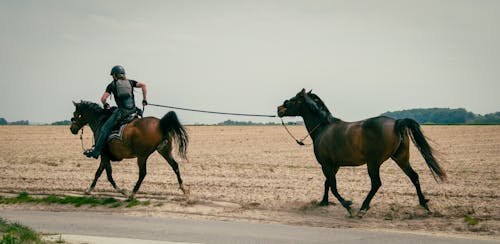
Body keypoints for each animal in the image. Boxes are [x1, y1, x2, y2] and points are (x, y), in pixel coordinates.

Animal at [280, 88, 448, 216]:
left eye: (294, 99)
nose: (279, 109)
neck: (323, 127)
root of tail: (396, 122)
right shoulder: (334, 165)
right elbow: (328, 183)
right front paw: (324, 202)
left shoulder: (326, 164)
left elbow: (333, 185)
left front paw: (347, 205)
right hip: (401, 158)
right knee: (414, 177)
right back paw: (424, 204)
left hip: (373, 163)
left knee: (376, 183)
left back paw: (363, 207)